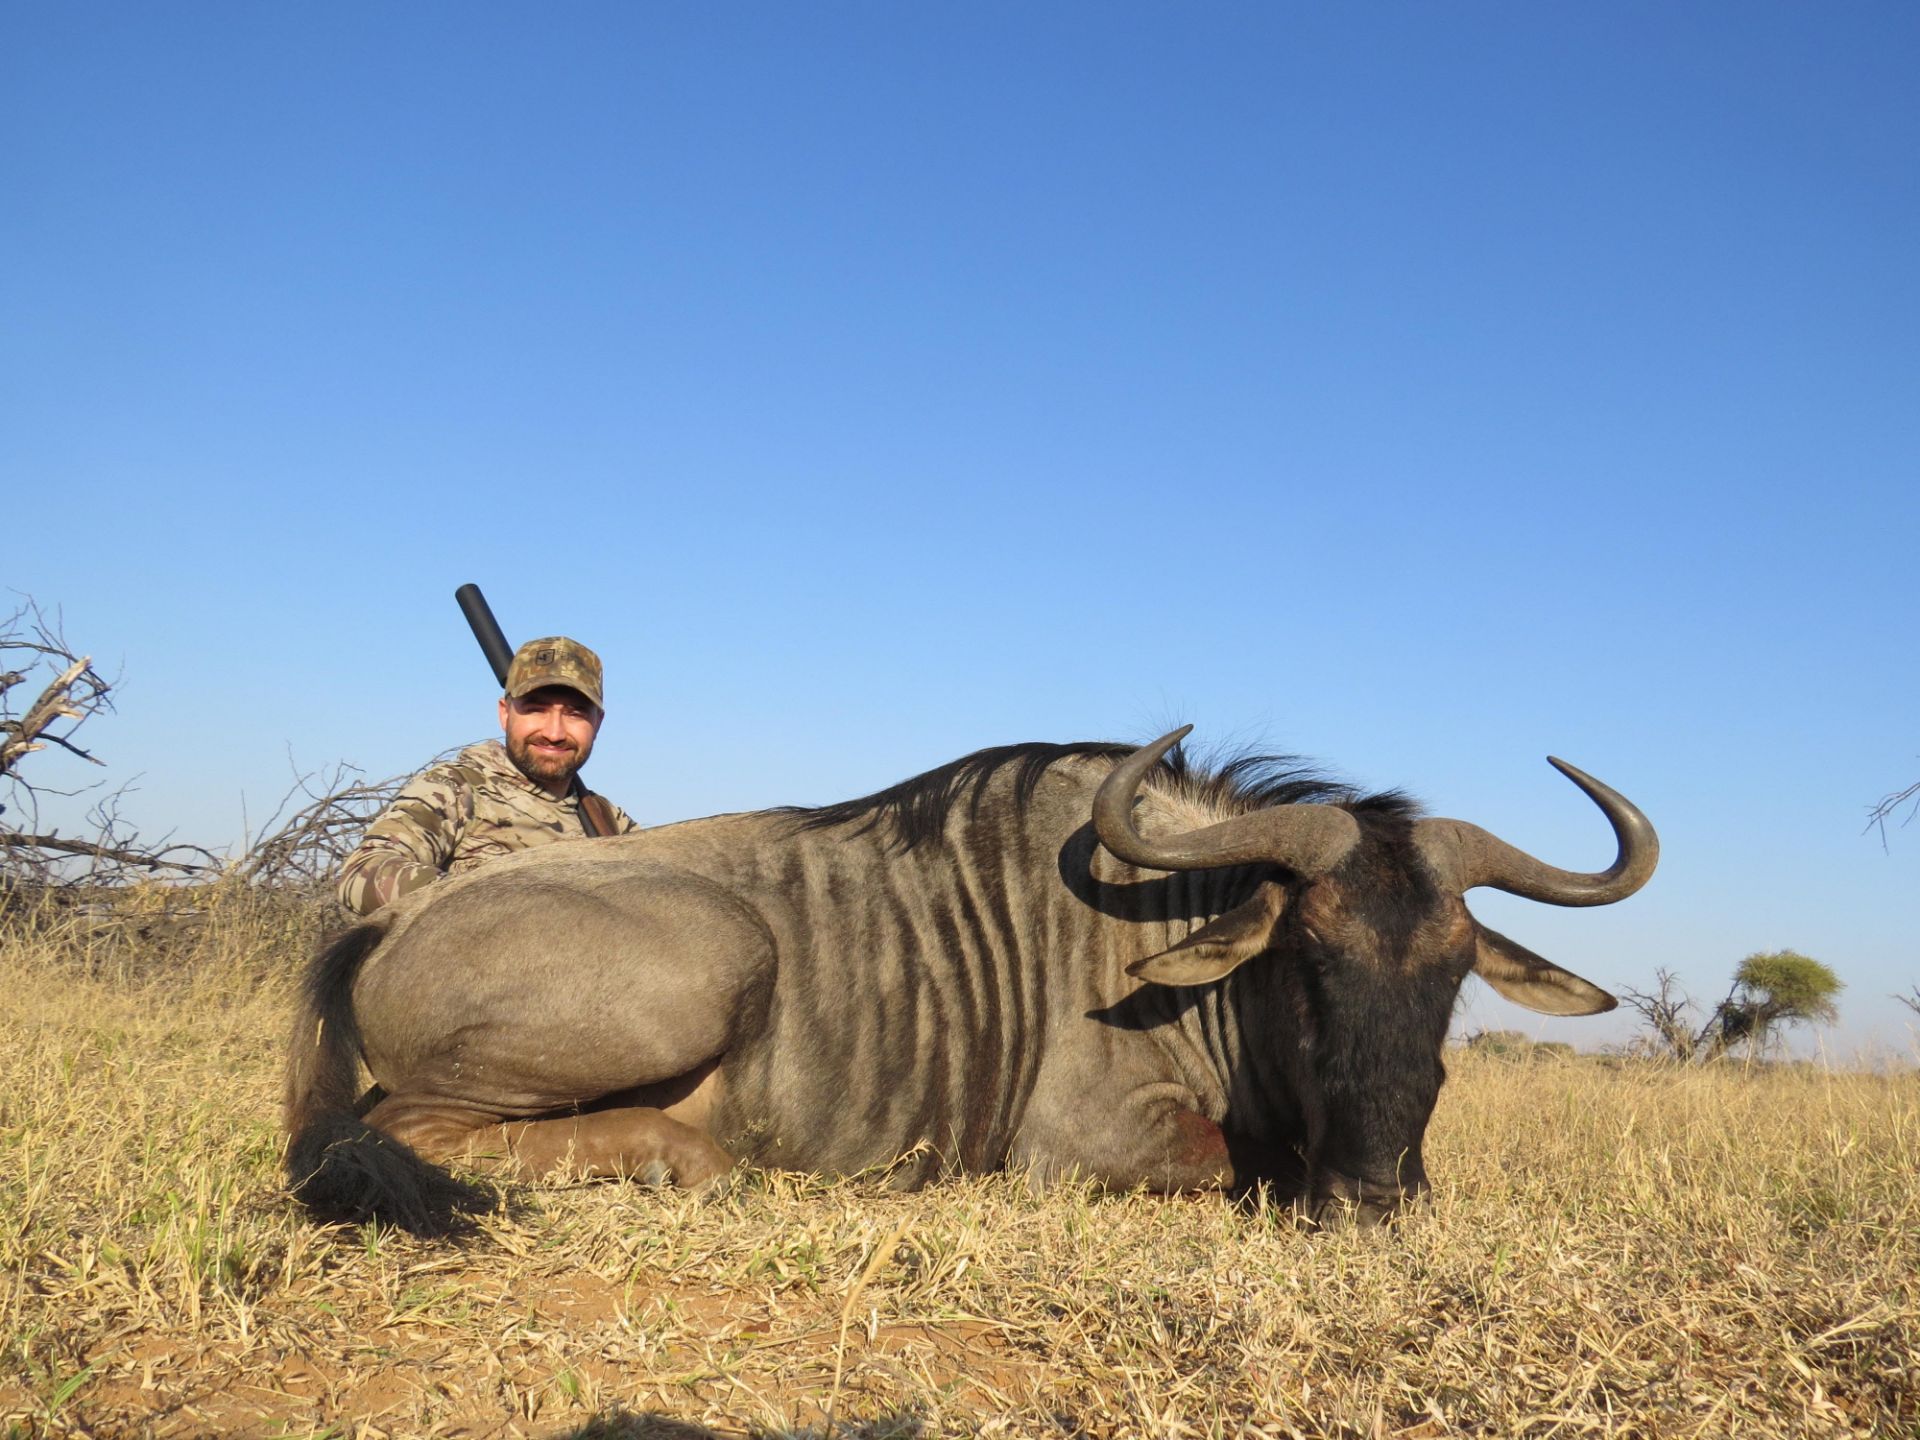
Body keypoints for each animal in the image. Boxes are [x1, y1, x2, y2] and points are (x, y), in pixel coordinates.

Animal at [285, 726, 1656, 1234]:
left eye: (1455, 976)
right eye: (1307, 957)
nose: (1375, 1199)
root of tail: (385, 926)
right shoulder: (1090, 1143)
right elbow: (1233, 1164)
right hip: (718, 959)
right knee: (396, 1130)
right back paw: (689, 1160)